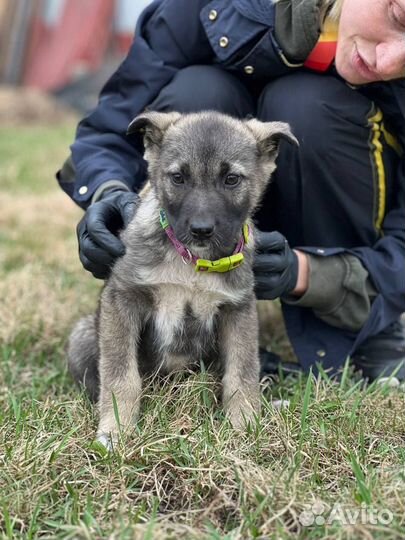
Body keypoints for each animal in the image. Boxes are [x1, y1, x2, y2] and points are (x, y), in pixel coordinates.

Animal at [68, 109, 296, 448]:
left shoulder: (238, 310)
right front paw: (116, 428)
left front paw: (244, 422)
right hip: (83, 335)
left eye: (231, 180)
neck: (194, 262)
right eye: (178, 178)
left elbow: (242, 372)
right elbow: (121, 376)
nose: (201, 230)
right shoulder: (123, 298)